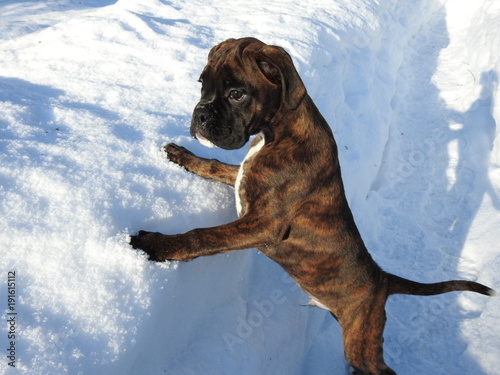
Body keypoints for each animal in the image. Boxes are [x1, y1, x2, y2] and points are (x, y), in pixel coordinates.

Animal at [130, 38, 496, 375]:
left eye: (237, 94)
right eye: (202, 84)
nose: (200, 114)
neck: (278, 132)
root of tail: (382, 280)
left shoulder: (264, 224)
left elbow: (203, 236)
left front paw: (155, 244)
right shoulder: (244, 180)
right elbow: (215, 165)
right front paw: (181, 156)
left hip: (360, 341)